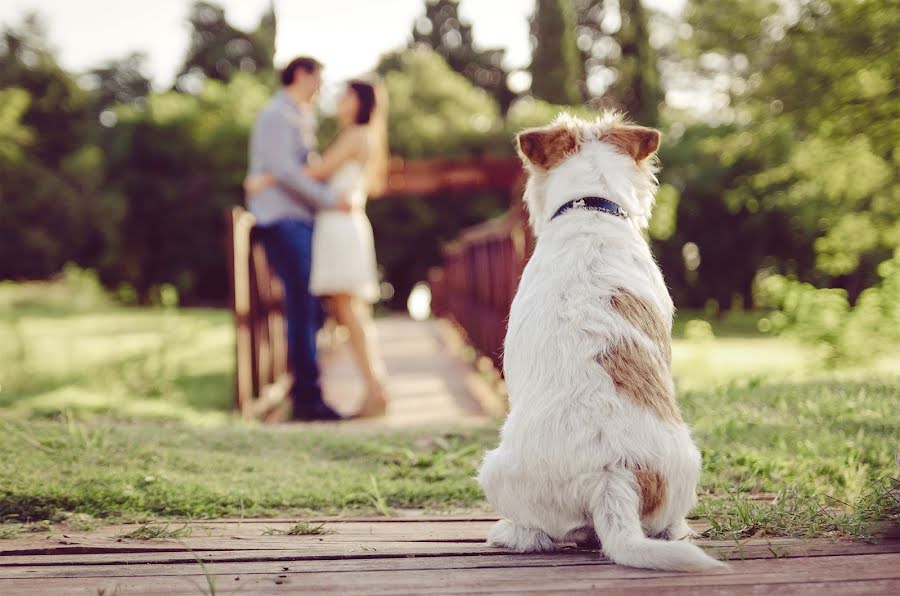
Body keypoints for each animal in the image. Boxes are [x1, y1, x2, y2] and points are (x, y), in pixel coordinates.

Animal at [478, 112, 724, 572]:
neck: (590, 208)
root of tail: (612, 473)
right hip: (688, 466)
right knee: (663, 526)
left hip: (493, 469)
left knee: (540, 534)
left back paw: (509, 532)